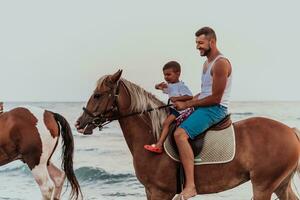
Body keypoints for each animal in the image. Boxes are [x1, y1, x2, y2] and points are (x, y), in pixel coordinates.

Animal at [75, 69, 300, 199]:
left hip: (263, 185)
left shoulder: (159, 192)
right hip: (280, 185)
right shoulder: (152, 191)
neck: (152, 136)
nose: (79, 123)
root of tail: (290, 131)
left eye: (97, 95)